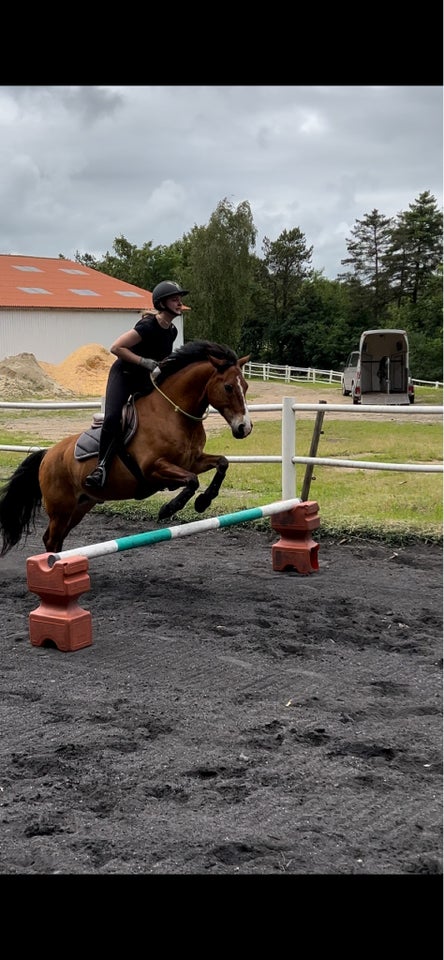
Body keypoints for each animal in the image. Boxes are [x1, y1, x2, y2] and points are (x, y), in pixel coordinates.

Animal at [0, 344, 251, 556]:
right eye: (228, 387)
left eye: (246, 386)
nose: (244, 428)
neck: (174, 414)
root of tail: (47, 455)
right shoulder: (153, 469)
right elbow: (191, 480)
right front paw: (169, 509)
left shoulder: (193, 461)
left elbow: (222, 463)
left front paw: (203, 502)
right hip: (61, 508)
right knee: (52, 540)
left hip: (81, 505)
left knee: (54, 539)